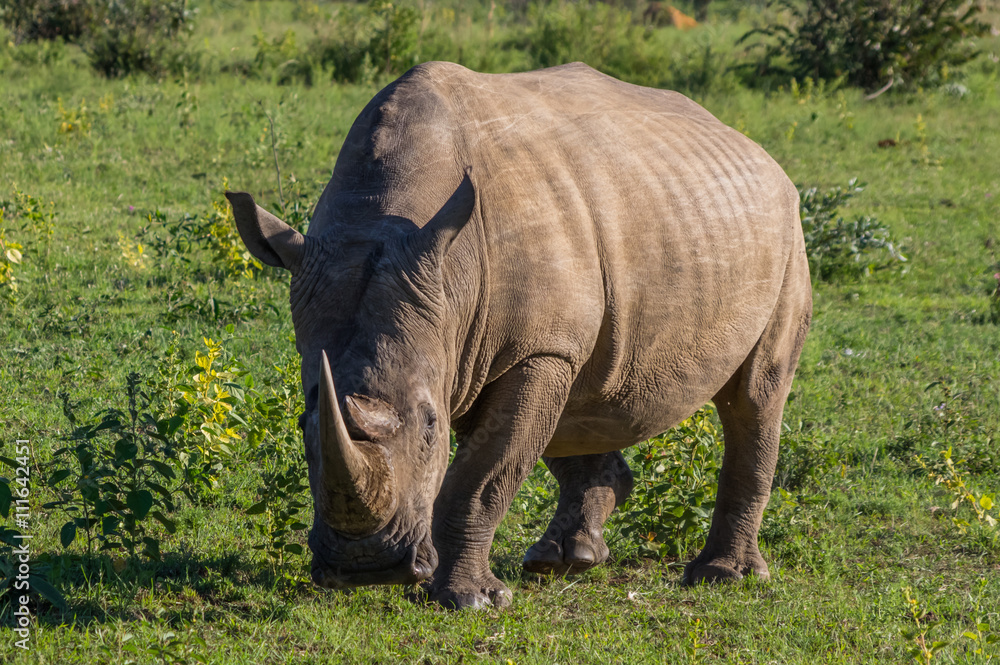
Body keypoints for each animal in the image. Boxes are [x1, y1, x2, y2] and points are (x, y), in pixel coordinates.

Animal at [226, 61, 812, 610]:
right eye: (302, 424)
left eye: (431, 426)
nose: (365, 566)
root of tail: (751, 146)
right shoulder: (506, 341)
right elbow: (508, 451)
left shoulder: (536, 349)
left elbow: (482, 477)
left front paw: (472, 600)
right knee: (579, 403)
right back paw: (565, 560)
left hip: (785, 232)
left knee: (754, 396)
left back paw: (721, 576)